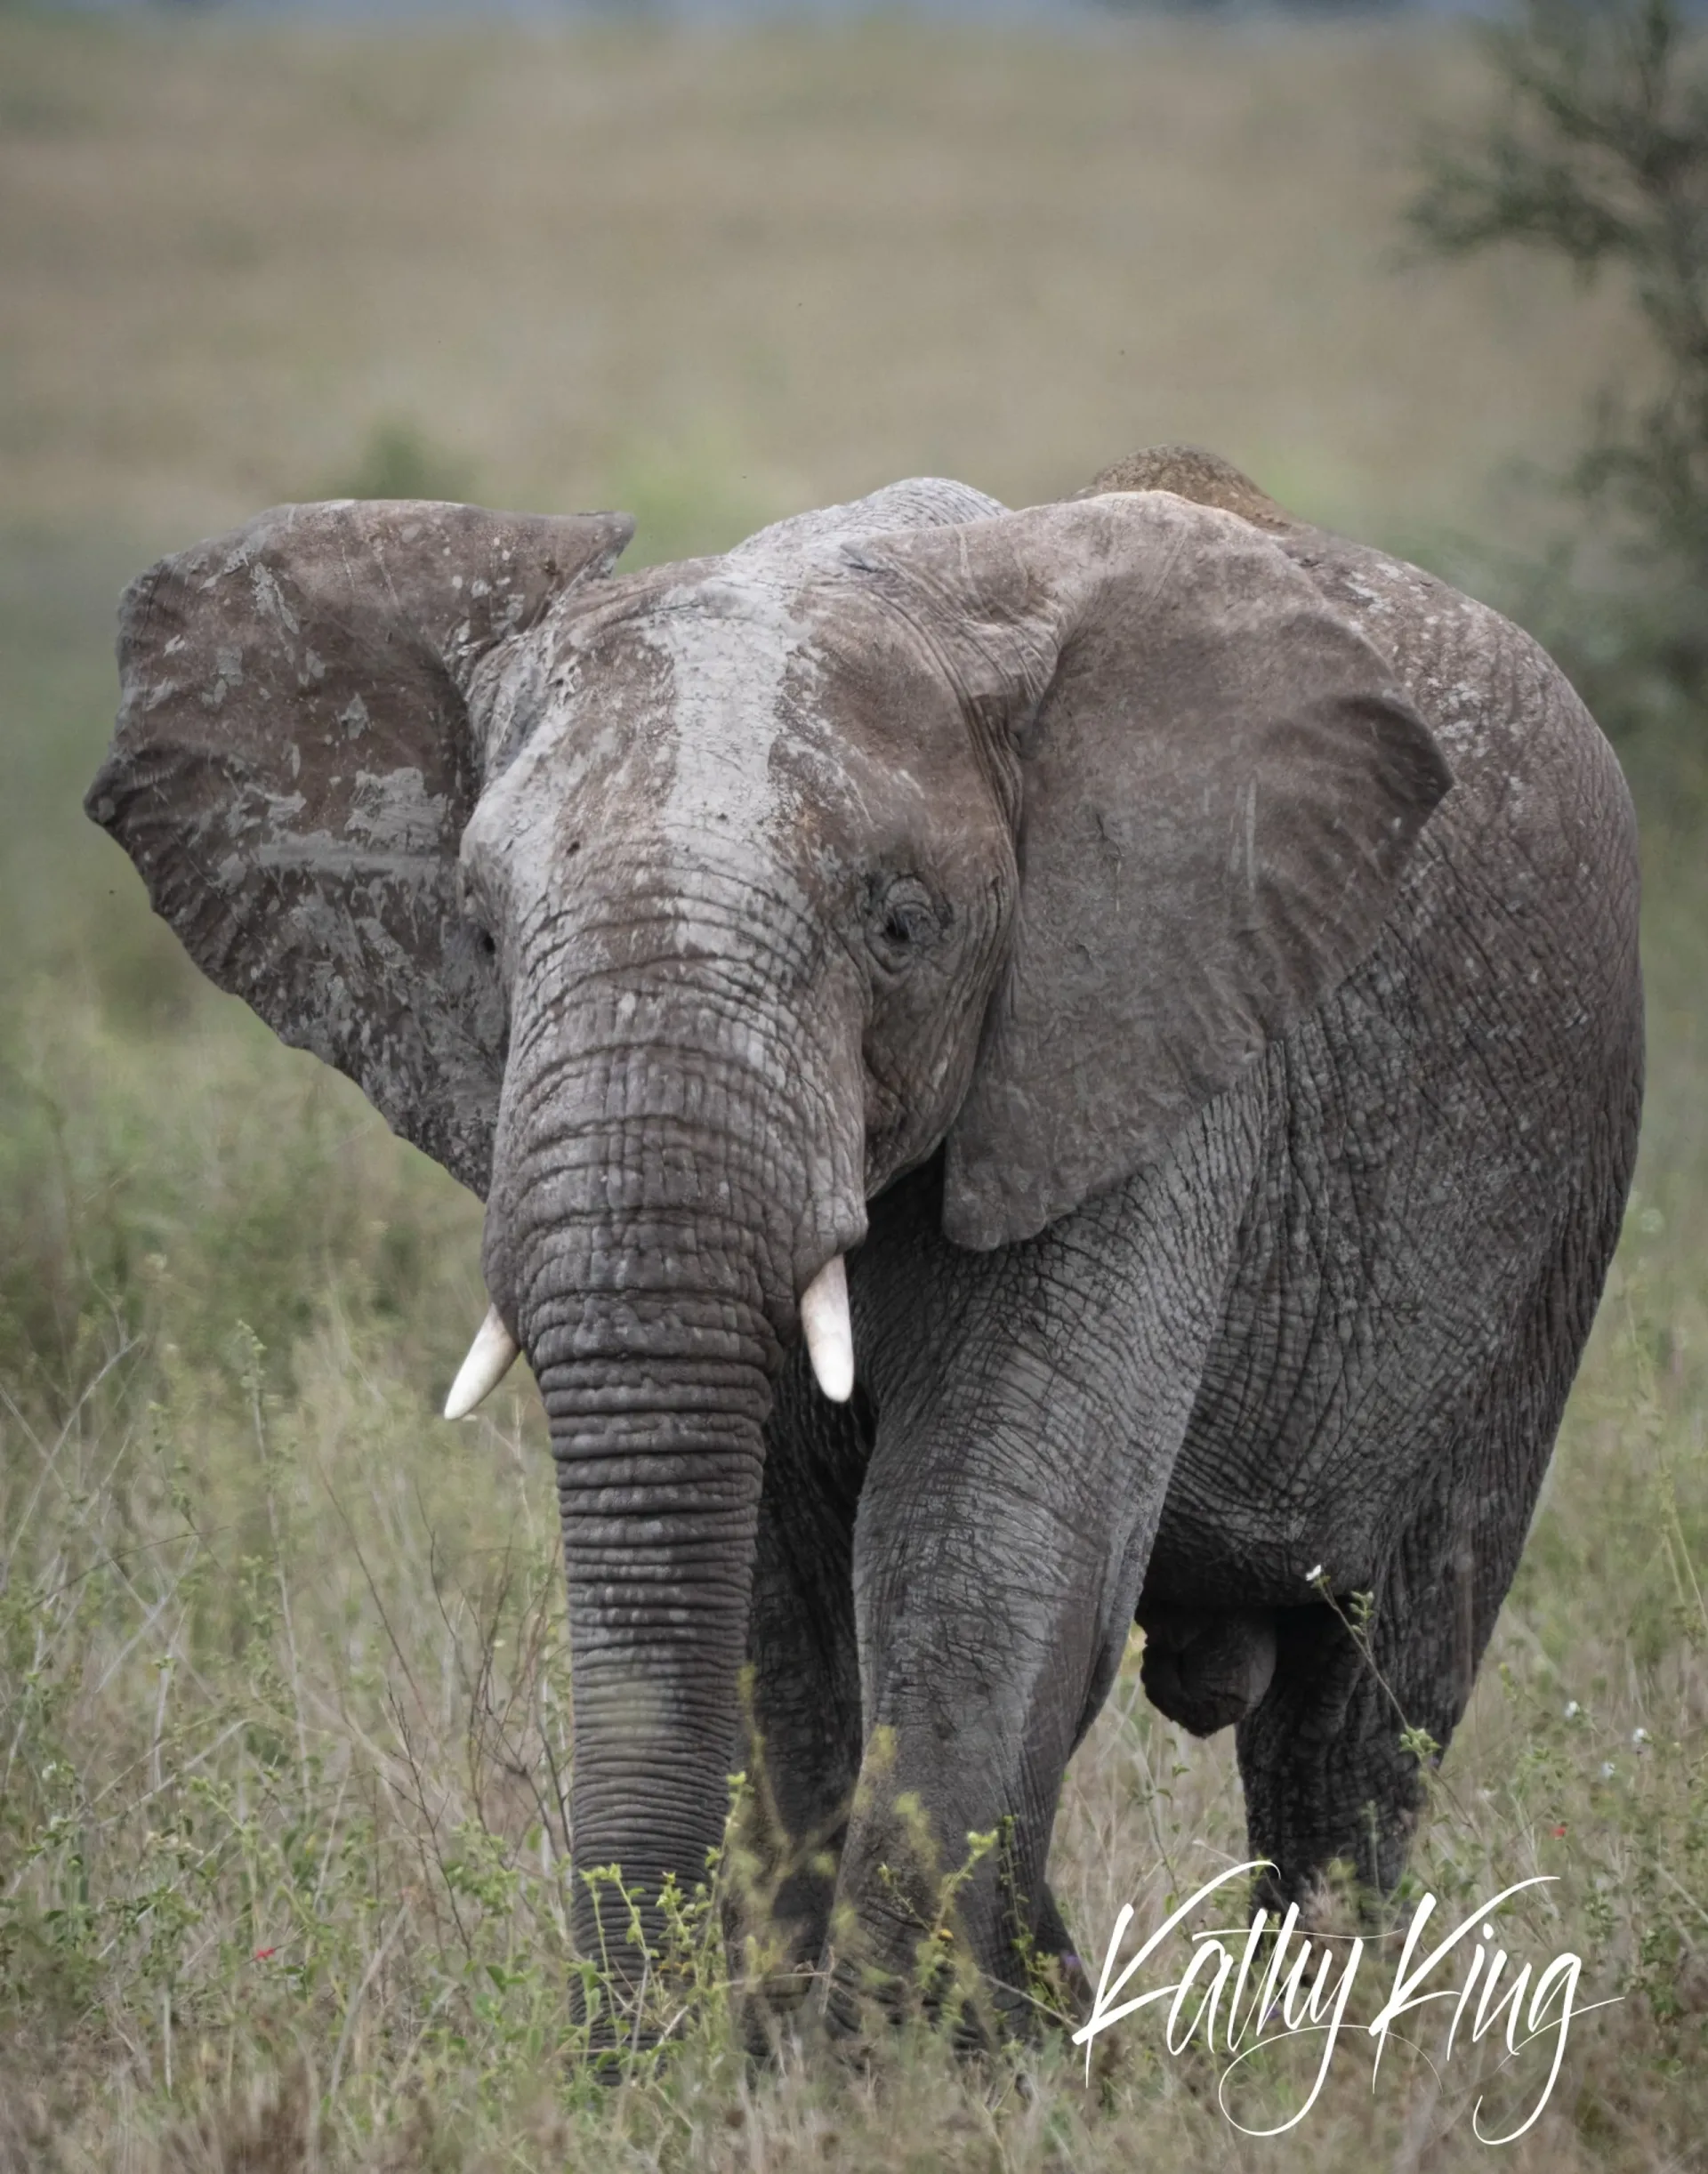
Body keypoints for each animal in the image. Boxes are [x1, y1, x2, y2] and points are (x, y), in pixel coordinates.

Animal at [86, 444, 1643, 2040]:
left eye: (903, 926)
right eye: (480, 936)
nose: (624, 2053)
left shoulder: (1139, 1057)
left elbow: (979, 1545)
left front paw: (901, 2058)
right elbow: (780, 1610)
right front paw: (834, 2049)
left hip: (1556, 1187)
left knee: (1365, 1711)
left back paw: (1321, 2042)